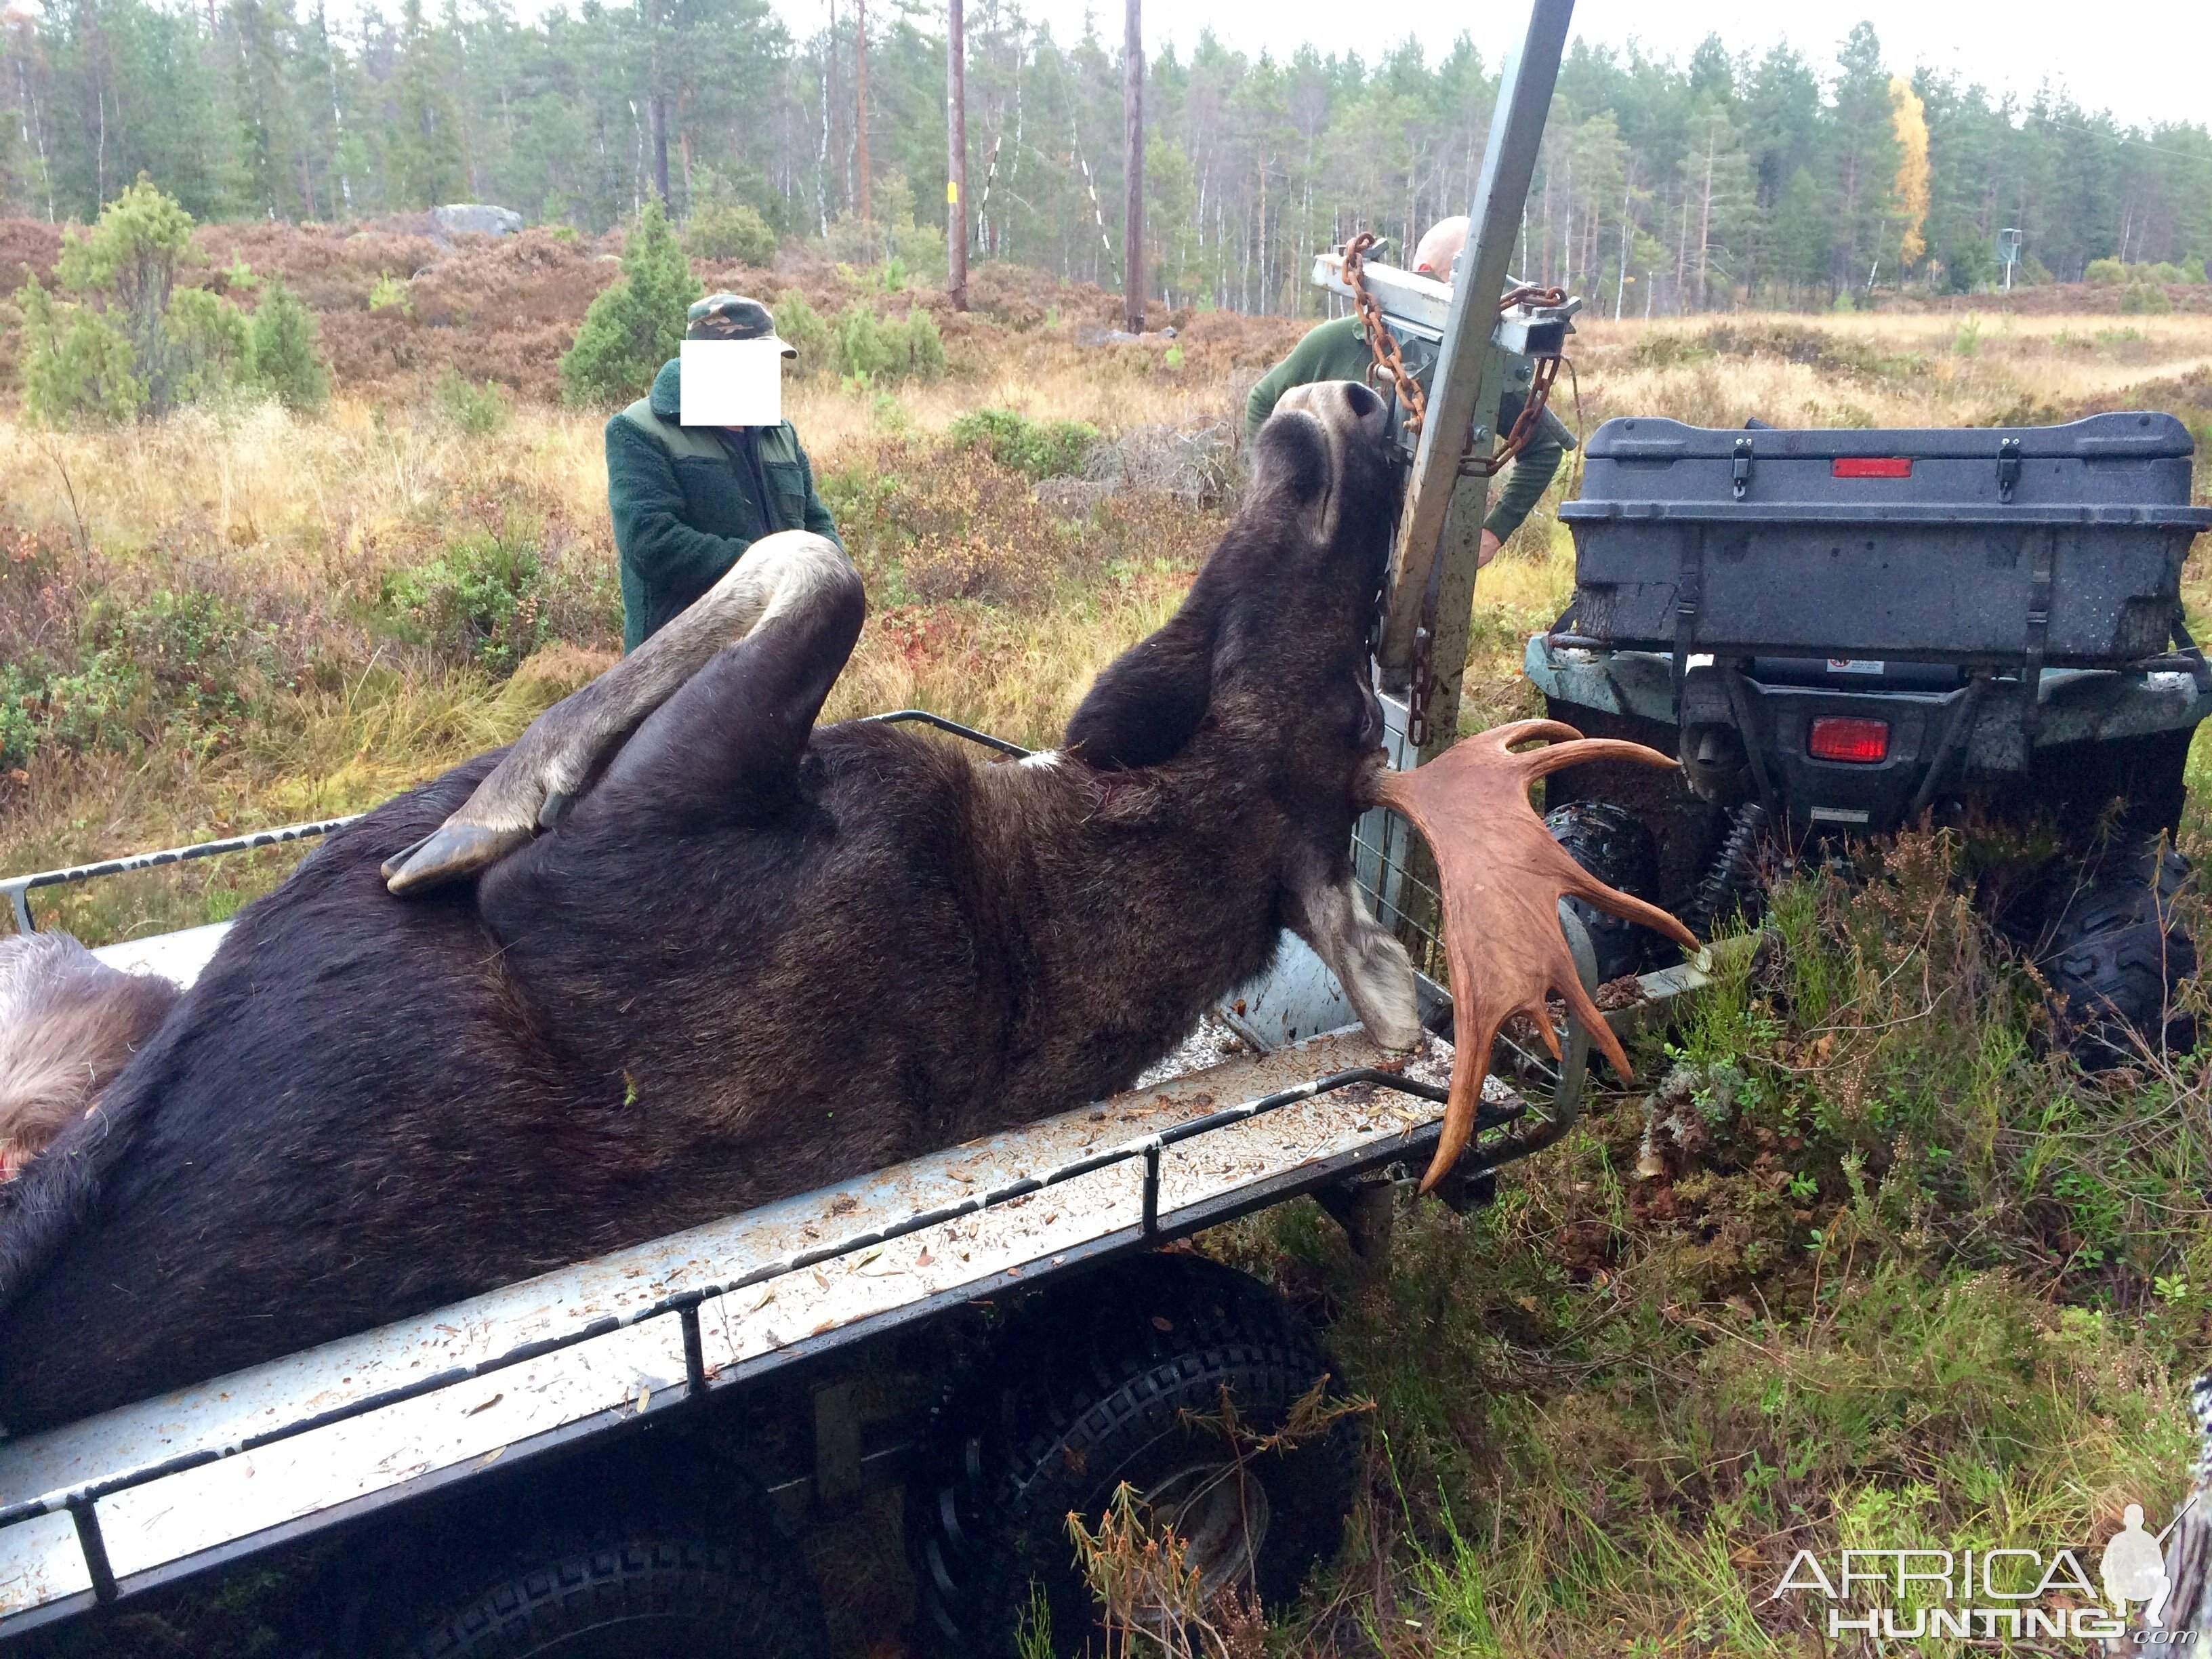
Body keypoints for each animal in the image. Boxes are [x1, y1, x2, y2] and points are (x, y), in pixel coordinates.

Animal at [0, 382, 1681, 1433]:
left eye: (1345, 694)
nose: (1372, 415)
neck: (1055, 858)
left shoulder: (603, 877)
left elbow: (817, 560)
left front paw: (477, 814)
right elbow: (803, 561)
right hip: (105, 1017)